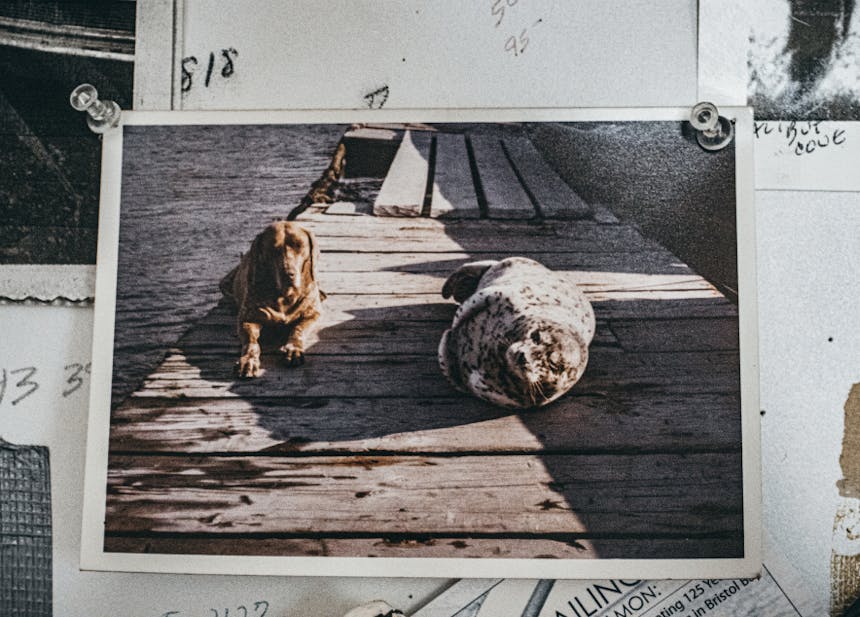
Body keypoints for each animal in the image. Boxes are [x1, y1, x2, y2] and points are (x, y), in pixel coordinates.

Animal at [220, 220, 324, 376]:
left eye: (299, 245)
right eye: (273, 249)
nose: (288, 274)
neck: (285, 295)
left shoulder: (312, 313)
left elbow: (298, 329)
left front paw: (293, 349)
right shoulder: (248, 318)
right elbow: (251, 342)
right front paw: (248, 360)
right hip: (225, 282)